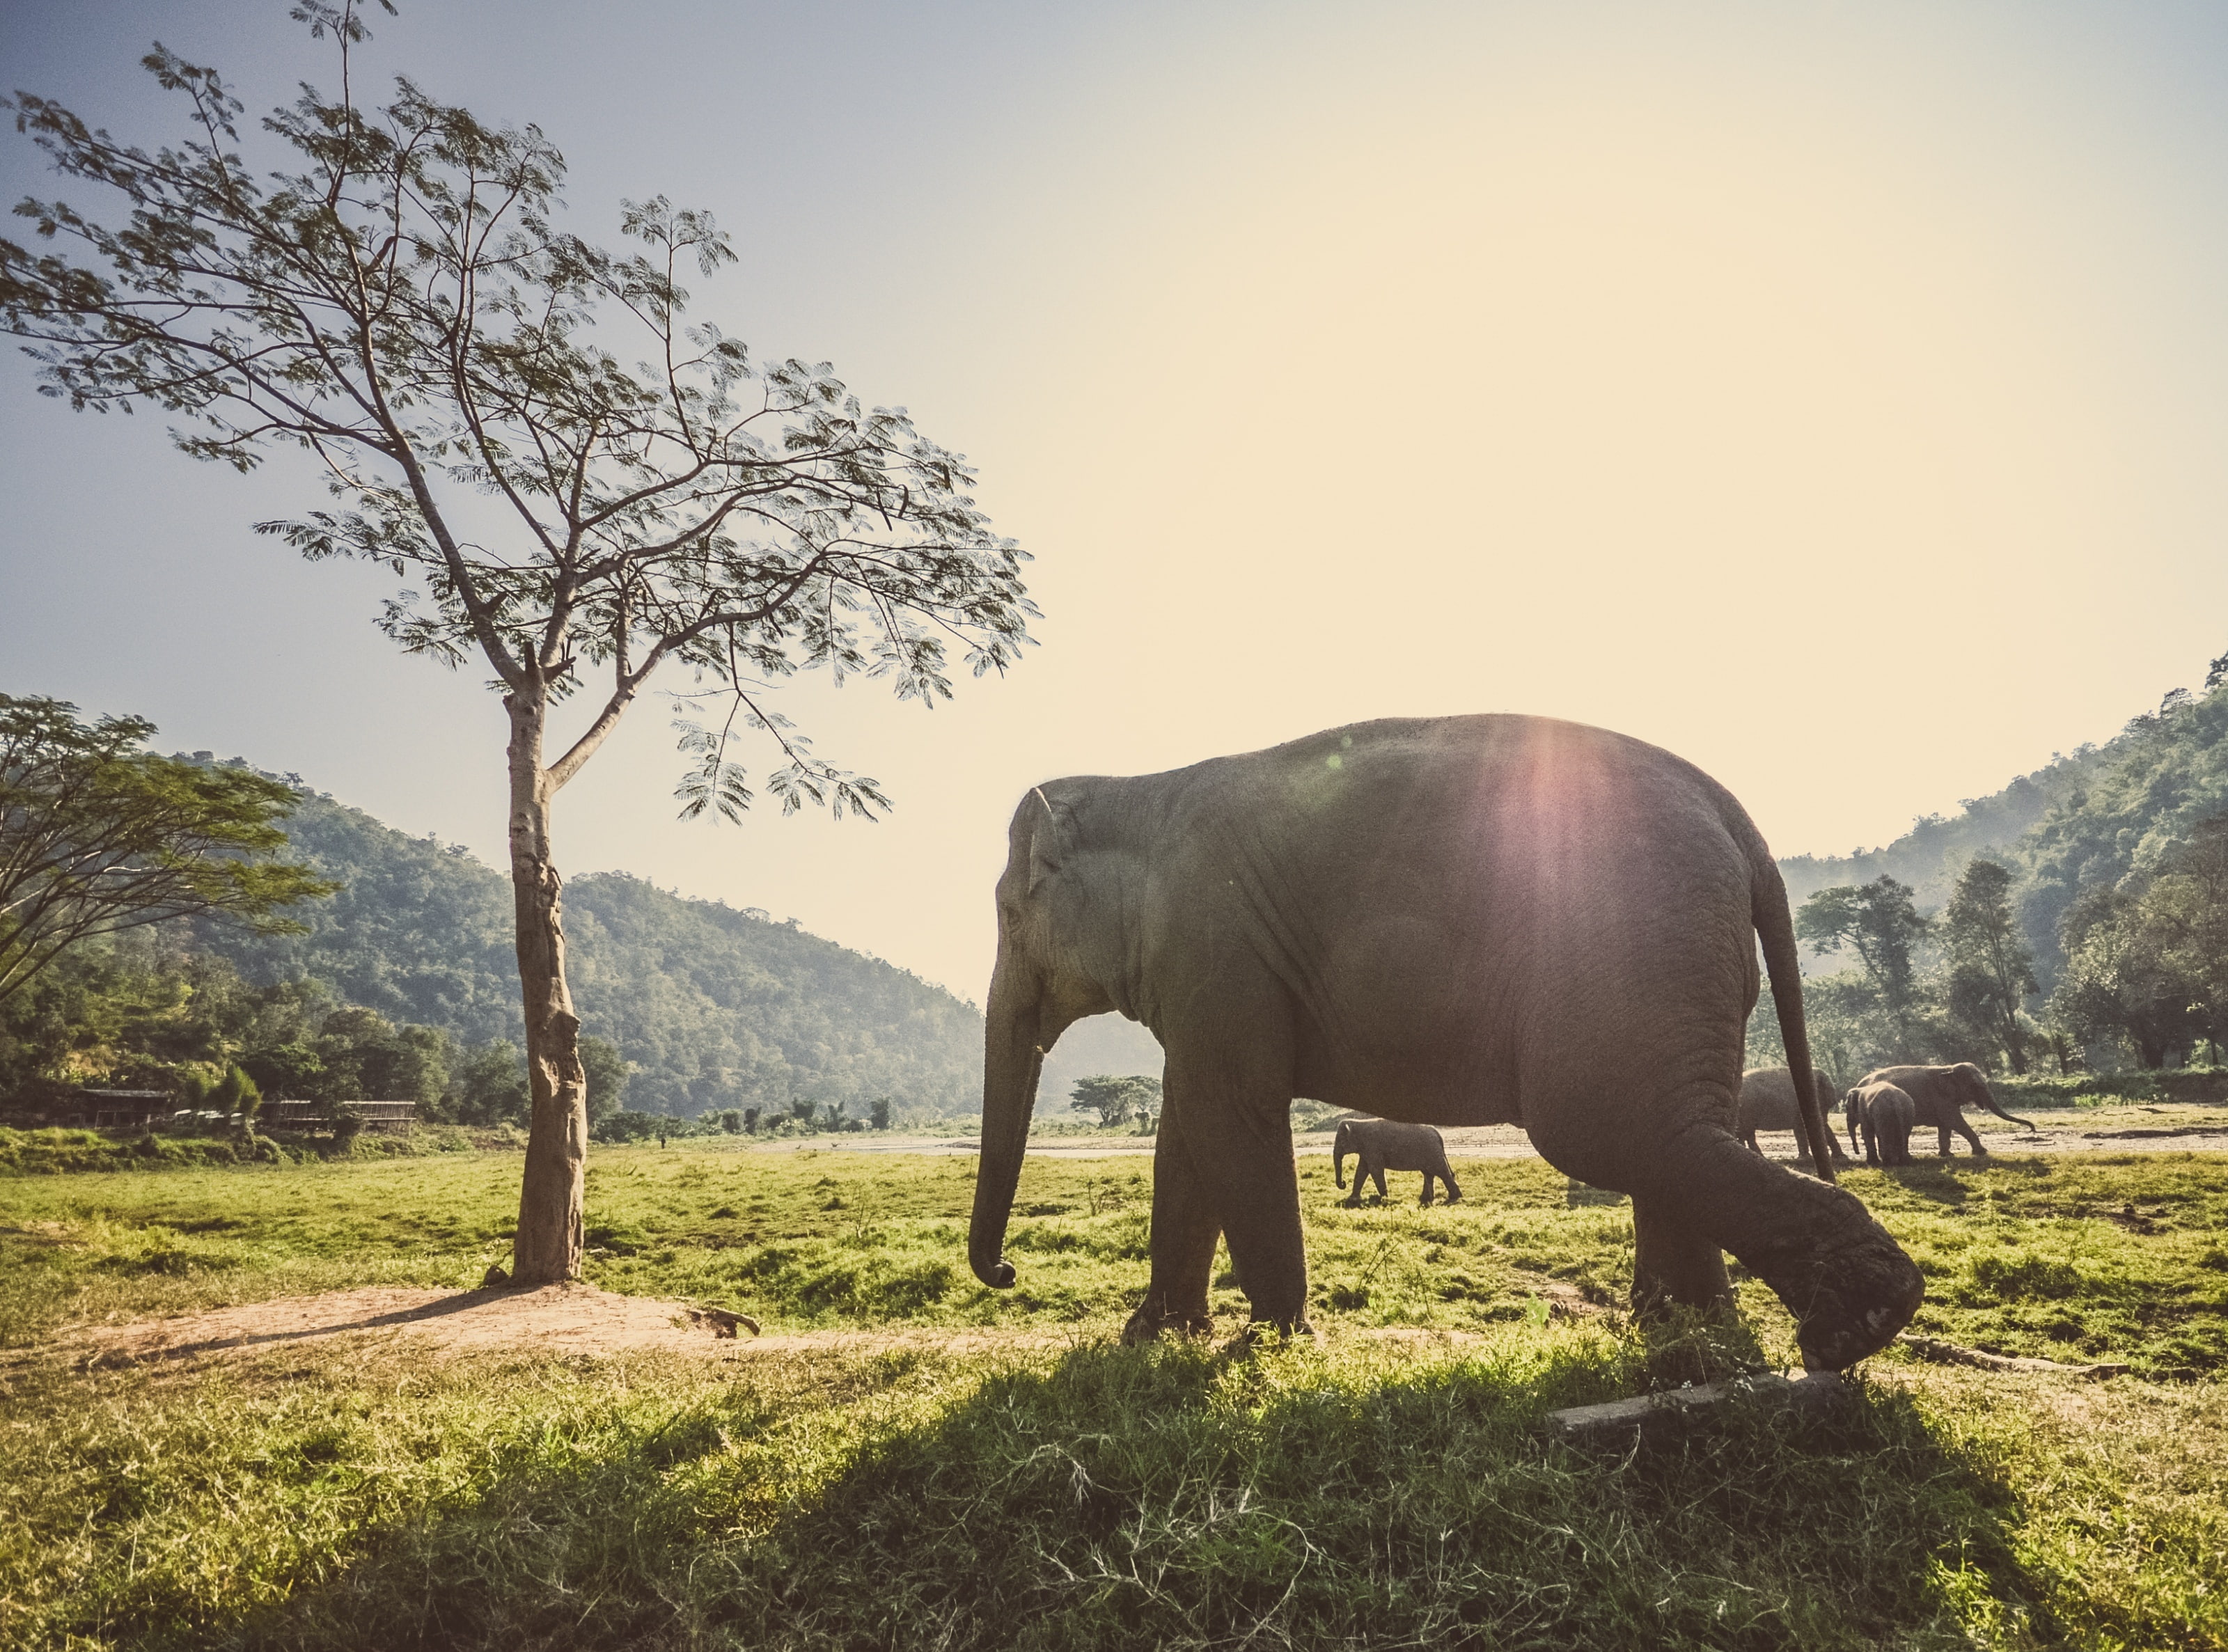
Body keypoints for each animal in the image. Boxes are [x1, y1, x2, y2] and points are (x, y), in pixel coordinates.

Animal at [1333, 1118, 1462, 1206]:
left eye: (1341, 1142)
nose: (1343, 1183)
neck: (1358, 1123)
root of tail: (1437, 1133)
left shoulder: (1372, 1147)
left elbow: (1375, 1170)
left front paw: (1385, 1199)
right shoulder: (1366, 1149)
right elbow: (1362, 1170)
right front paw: (1353, 1199)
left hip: (1433, 1152)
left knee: (1441, 1172)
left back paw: (1455, 1198)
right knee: (1429, 1174)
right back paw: (1426, 1199)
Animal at [1737, 1066, 1851, 1167]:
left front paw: (1842, 1159)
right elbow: (1802, 1128)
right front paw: (1805, 1159)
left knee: (1744, 1132)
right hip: (1748, 1109)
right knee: (1747, 1132)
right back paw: (1758, 1155)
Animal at [1852, 1062, 2037, 1157]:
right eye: (1975, 1085)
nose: (2032, 1129)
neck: (1948, 1068)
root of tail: (1859, 1083)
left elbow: (1946, 1127)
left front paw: (1946, 1155)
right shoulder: (1941, 1098)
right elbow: (1954, 1121)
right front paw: (1982, 1152)